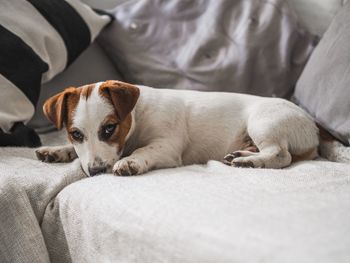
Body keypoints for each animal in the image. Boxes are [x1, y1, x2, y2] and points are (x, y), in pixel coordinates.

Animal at [35, 79, 350, 176]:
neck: (138, 116)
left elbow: (143, 151)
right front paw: (56, 150)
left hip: (264, 121)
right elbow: (73, 151)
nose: (97, 171)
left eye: (110, 128)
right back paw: (243, 154)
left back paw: (250, 162)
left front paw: (131, 161)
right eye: (75, 134)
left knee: (281, 155)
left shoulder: (166, 147)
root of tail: (311, 121)